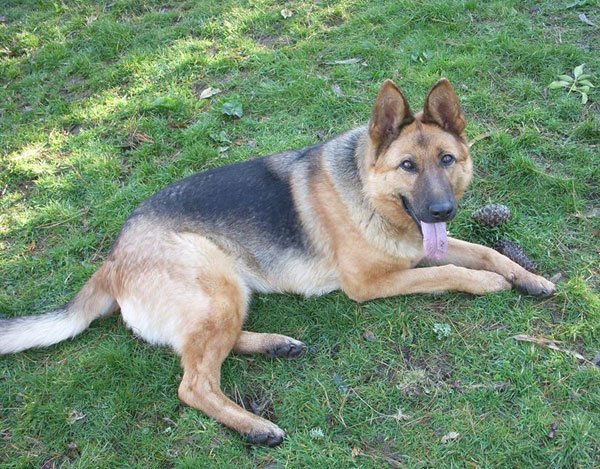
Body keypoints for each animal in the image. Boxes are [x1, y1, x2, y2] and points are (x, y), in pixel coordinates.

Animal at [0, 79, 552, 446]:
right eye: (408, 166)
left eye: (447, 160)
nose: (442, 211)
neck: (370, 193)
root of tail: (114, 257)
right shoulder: (371, 283)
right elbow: (450, 270)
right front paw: (488, 283)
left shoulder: (422, 248)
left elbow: (485, 251)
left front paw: (529, 277)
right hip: (217, 286)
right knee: (193, 384)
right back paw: (256, 426)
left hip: (228, 293)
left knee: (203, 351)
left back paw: (275, 345)